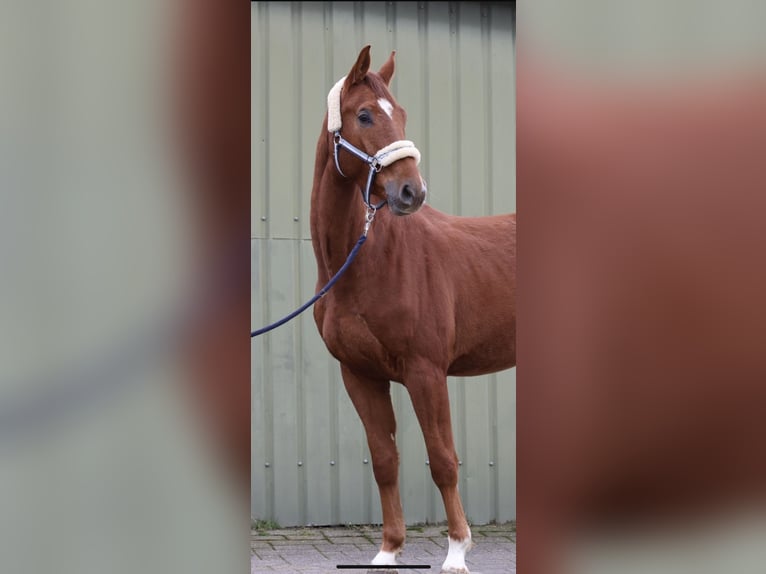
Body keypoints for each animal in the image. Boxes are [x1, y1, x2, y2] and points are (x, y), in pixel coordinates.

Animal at [310, 46, 516, 574]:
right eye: (364, 115)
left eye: (400, 114)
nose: (412, 192)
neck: (369, 260)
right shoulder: (359, 374)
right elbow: (385, 460)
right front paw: (388, 550)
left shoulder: (426, 371)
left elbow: (442, 458)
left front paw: (458, 551)